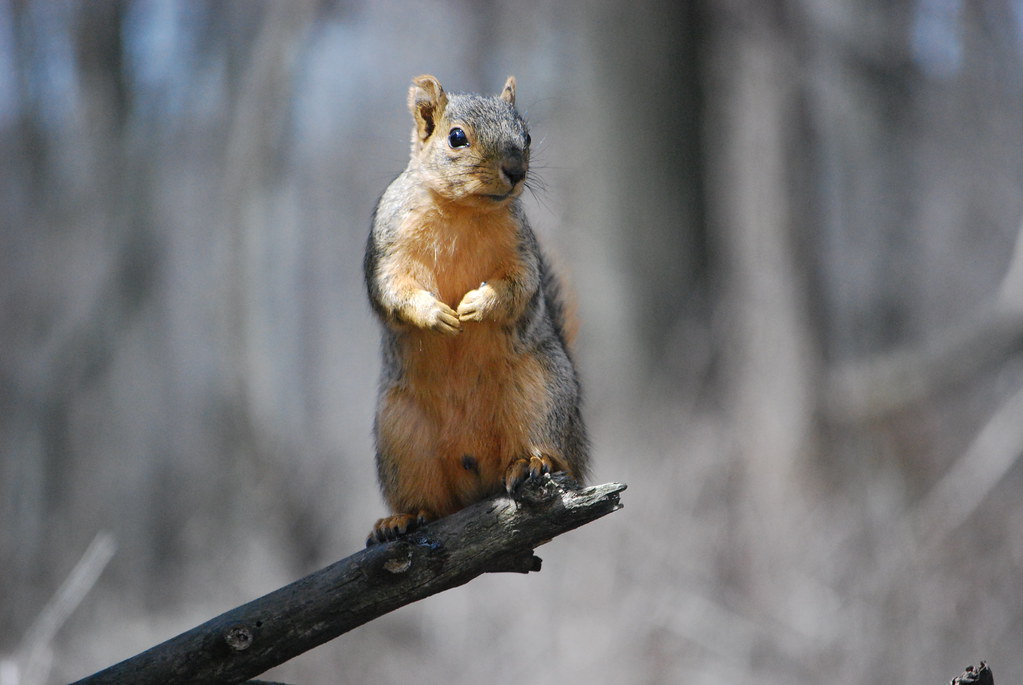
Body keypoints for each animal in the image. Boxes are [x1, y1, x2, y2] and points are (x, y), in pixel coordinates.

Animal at [363, 74, 589, 545]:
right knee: (427, 501)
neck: (461, 209)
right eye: (456, 137)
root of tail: (477, 482)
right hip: (401, 435)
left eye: (526, 135)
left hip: (542, 394)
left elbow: (521, 287)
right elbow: (393, 290)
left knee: (552, 450)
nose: (516, 171)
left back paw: (533, 462)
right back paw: (401, 518)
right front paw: (434, 313)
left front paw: (477, 304)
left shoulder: (521, 250)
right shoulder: (387, 250)